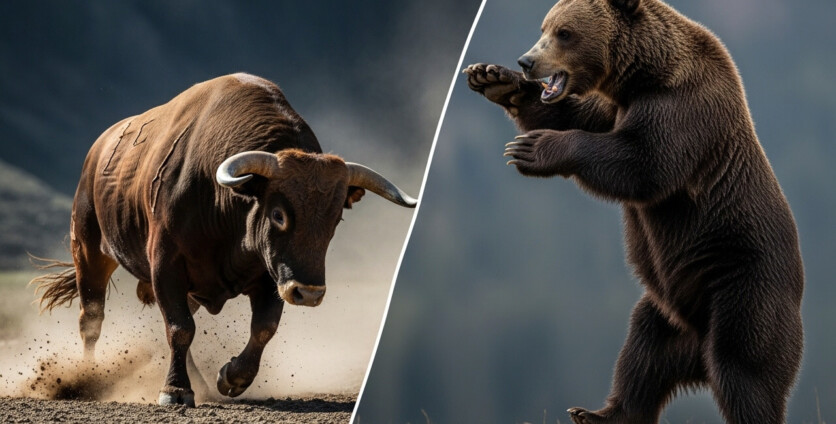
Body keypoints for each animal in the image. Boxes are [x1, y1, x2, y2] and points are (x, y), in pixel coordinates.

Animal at [30, 73, 417, 407]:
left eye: (336, 217)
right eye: (278, 214)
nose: (308, 293)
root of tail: (97, 154)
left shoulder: (269, 275)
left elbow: (263, 327)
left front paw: (232, 377)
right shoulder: (166, 266)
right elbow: (180, 328)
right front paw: (174, 391)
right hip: (90, 250)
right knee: (91, 319)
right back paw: (88, 377)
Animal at [464, 0, 804, 423]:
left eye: (564, 33)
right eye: (544, 27)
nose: (527, 61)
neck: (642, 77)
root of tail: (700, 351)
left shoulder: (681, 108)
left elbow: (643, 163)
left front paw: (530, 149)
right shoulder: (613, 106)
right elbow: (571, 115)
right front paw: (492, 78)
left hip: (744, 291)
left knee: (745, 373)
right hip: (668, 312)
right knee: (643, 355)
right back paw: (596, 413)